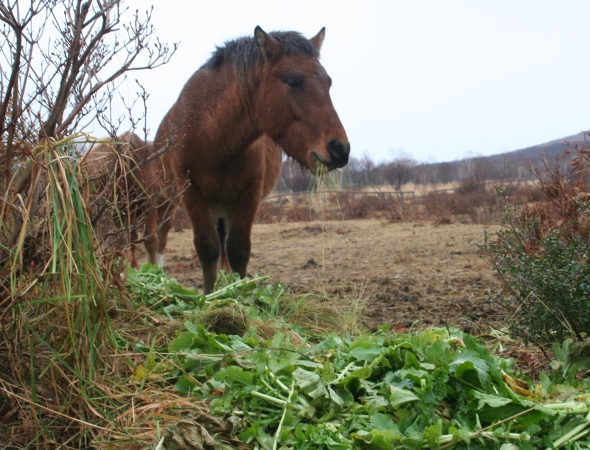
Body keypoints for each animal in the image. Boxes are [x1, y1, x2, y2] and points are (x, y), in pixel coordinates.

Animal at [150, 26, 352, 294]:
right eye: (293, 81)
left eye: (328, 82)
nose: (340, 149)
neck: (214, 141)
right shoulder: (191, 192)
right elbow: (207, 248)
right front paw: (209, 297)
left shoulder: (249, 194)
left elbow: (238, 250)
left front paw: (239, 294)